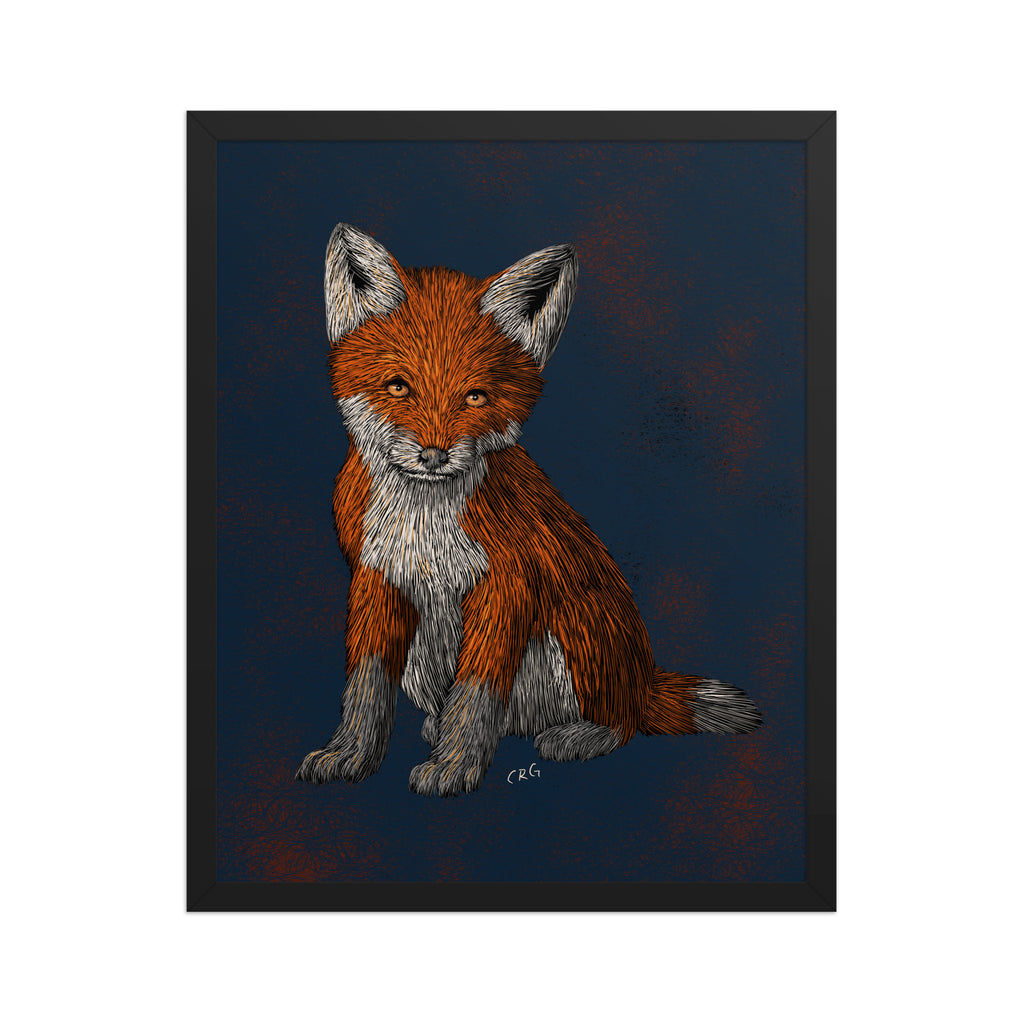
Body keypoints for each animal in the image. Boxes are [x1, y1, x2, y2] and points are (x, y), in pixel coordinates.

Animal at [295, 223, 762, 797]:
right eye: (398, 386)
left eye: (475, 397)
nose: (434, 455)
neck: (423, 524)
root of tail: (643, 679)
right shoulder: (376, 577)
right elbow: (365, 686)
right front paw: (351, 754)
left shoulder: (508, 584)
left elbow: (475, 693)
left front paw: (455, 766)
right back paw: (440, 727)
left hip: (580, 629)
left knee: (622, 722)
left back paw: (579, 734)